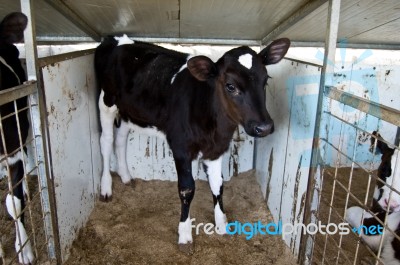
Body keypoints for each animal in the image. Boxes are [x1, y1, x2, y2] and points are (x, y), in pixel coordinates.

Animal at [96, 34, 290, 248]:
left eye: (265, 81)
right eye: (230, 86)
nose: (264, 127)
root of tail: (116, 37)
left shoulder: (216, 149)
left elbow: (218, 184)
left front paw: (222, 224)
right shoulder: (181, 148)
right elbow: (187, 189)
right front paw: (184, 234)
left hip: (128, 110)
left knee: (121, 139)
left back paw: (126, 177)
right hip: (106, 101)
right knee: (106, 142)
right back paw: (106, 188)